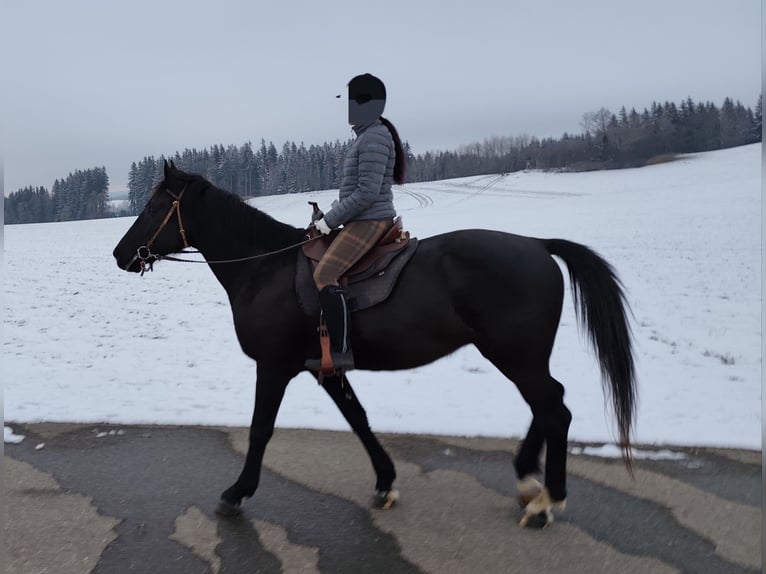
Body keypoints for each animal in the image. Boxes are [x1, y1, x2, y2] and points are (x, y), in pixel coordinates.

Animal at [113, 160, 637, 528]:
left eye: (155, 207)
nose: (121, 254)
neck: (265, 268)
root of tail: (537, 245)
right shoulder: (324, 366)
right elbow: (358, 419)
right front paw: (385, 483)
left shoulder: (275, 365)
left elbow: (261, 429)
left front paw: (237, 492)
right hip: (517, 355)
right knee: (548, 406)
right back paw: (528, 478)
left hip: (516, 355)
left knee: (554, 409)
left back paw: (547, 500)